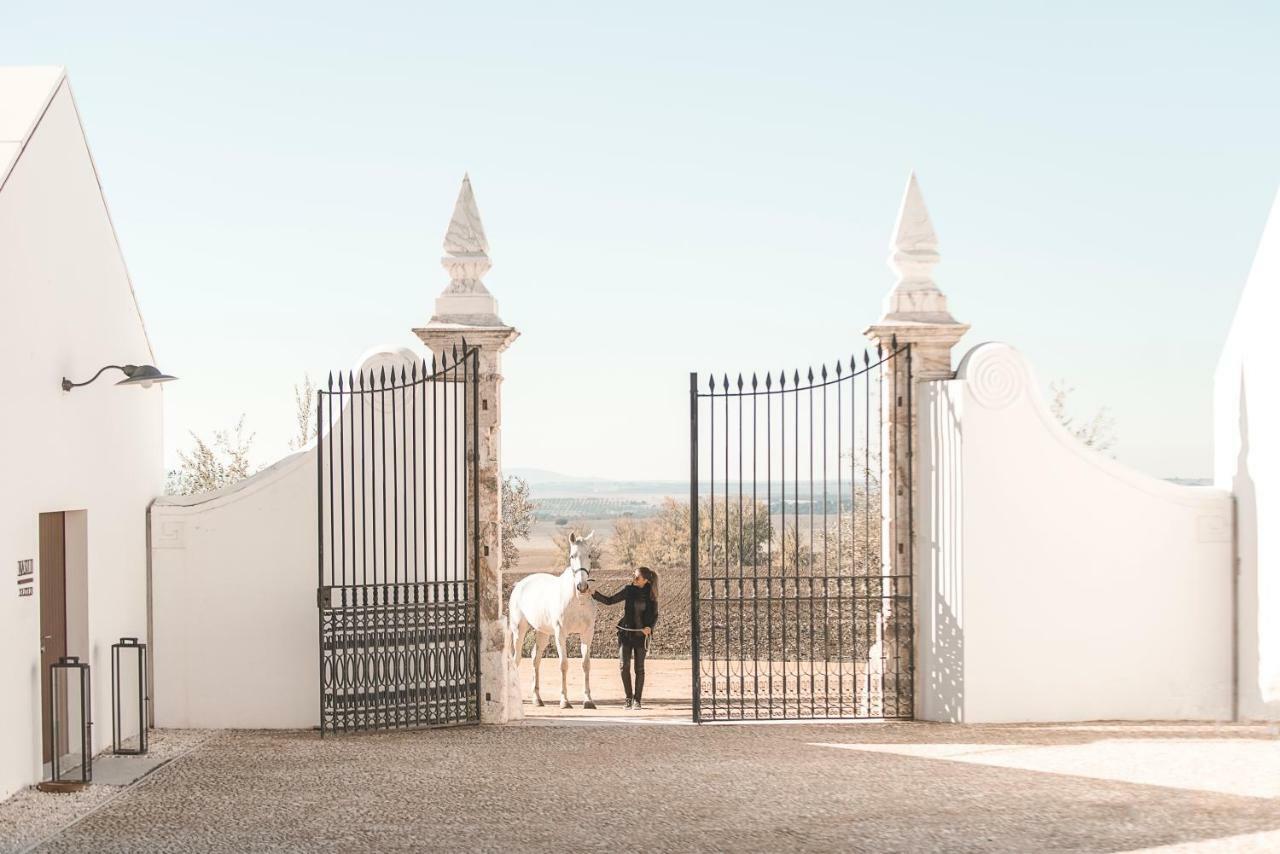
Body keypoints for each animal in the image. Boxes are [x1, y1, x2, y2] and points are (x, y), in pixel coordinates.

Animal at [506, 535, 596, 706]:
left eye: (589, 555)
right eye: (572, 556)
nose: (582, 587)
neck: (576, 600)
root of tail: (519, 584)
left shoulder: (587, 634)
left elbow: (586, 664)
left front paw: (588, 700)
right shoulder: (560, 633)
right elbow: (563, 664)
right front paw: (564, 700)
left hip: (543, 632)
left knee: (535, 658)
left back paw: (537, 698)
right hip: (519, 630)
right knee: (516, 659)